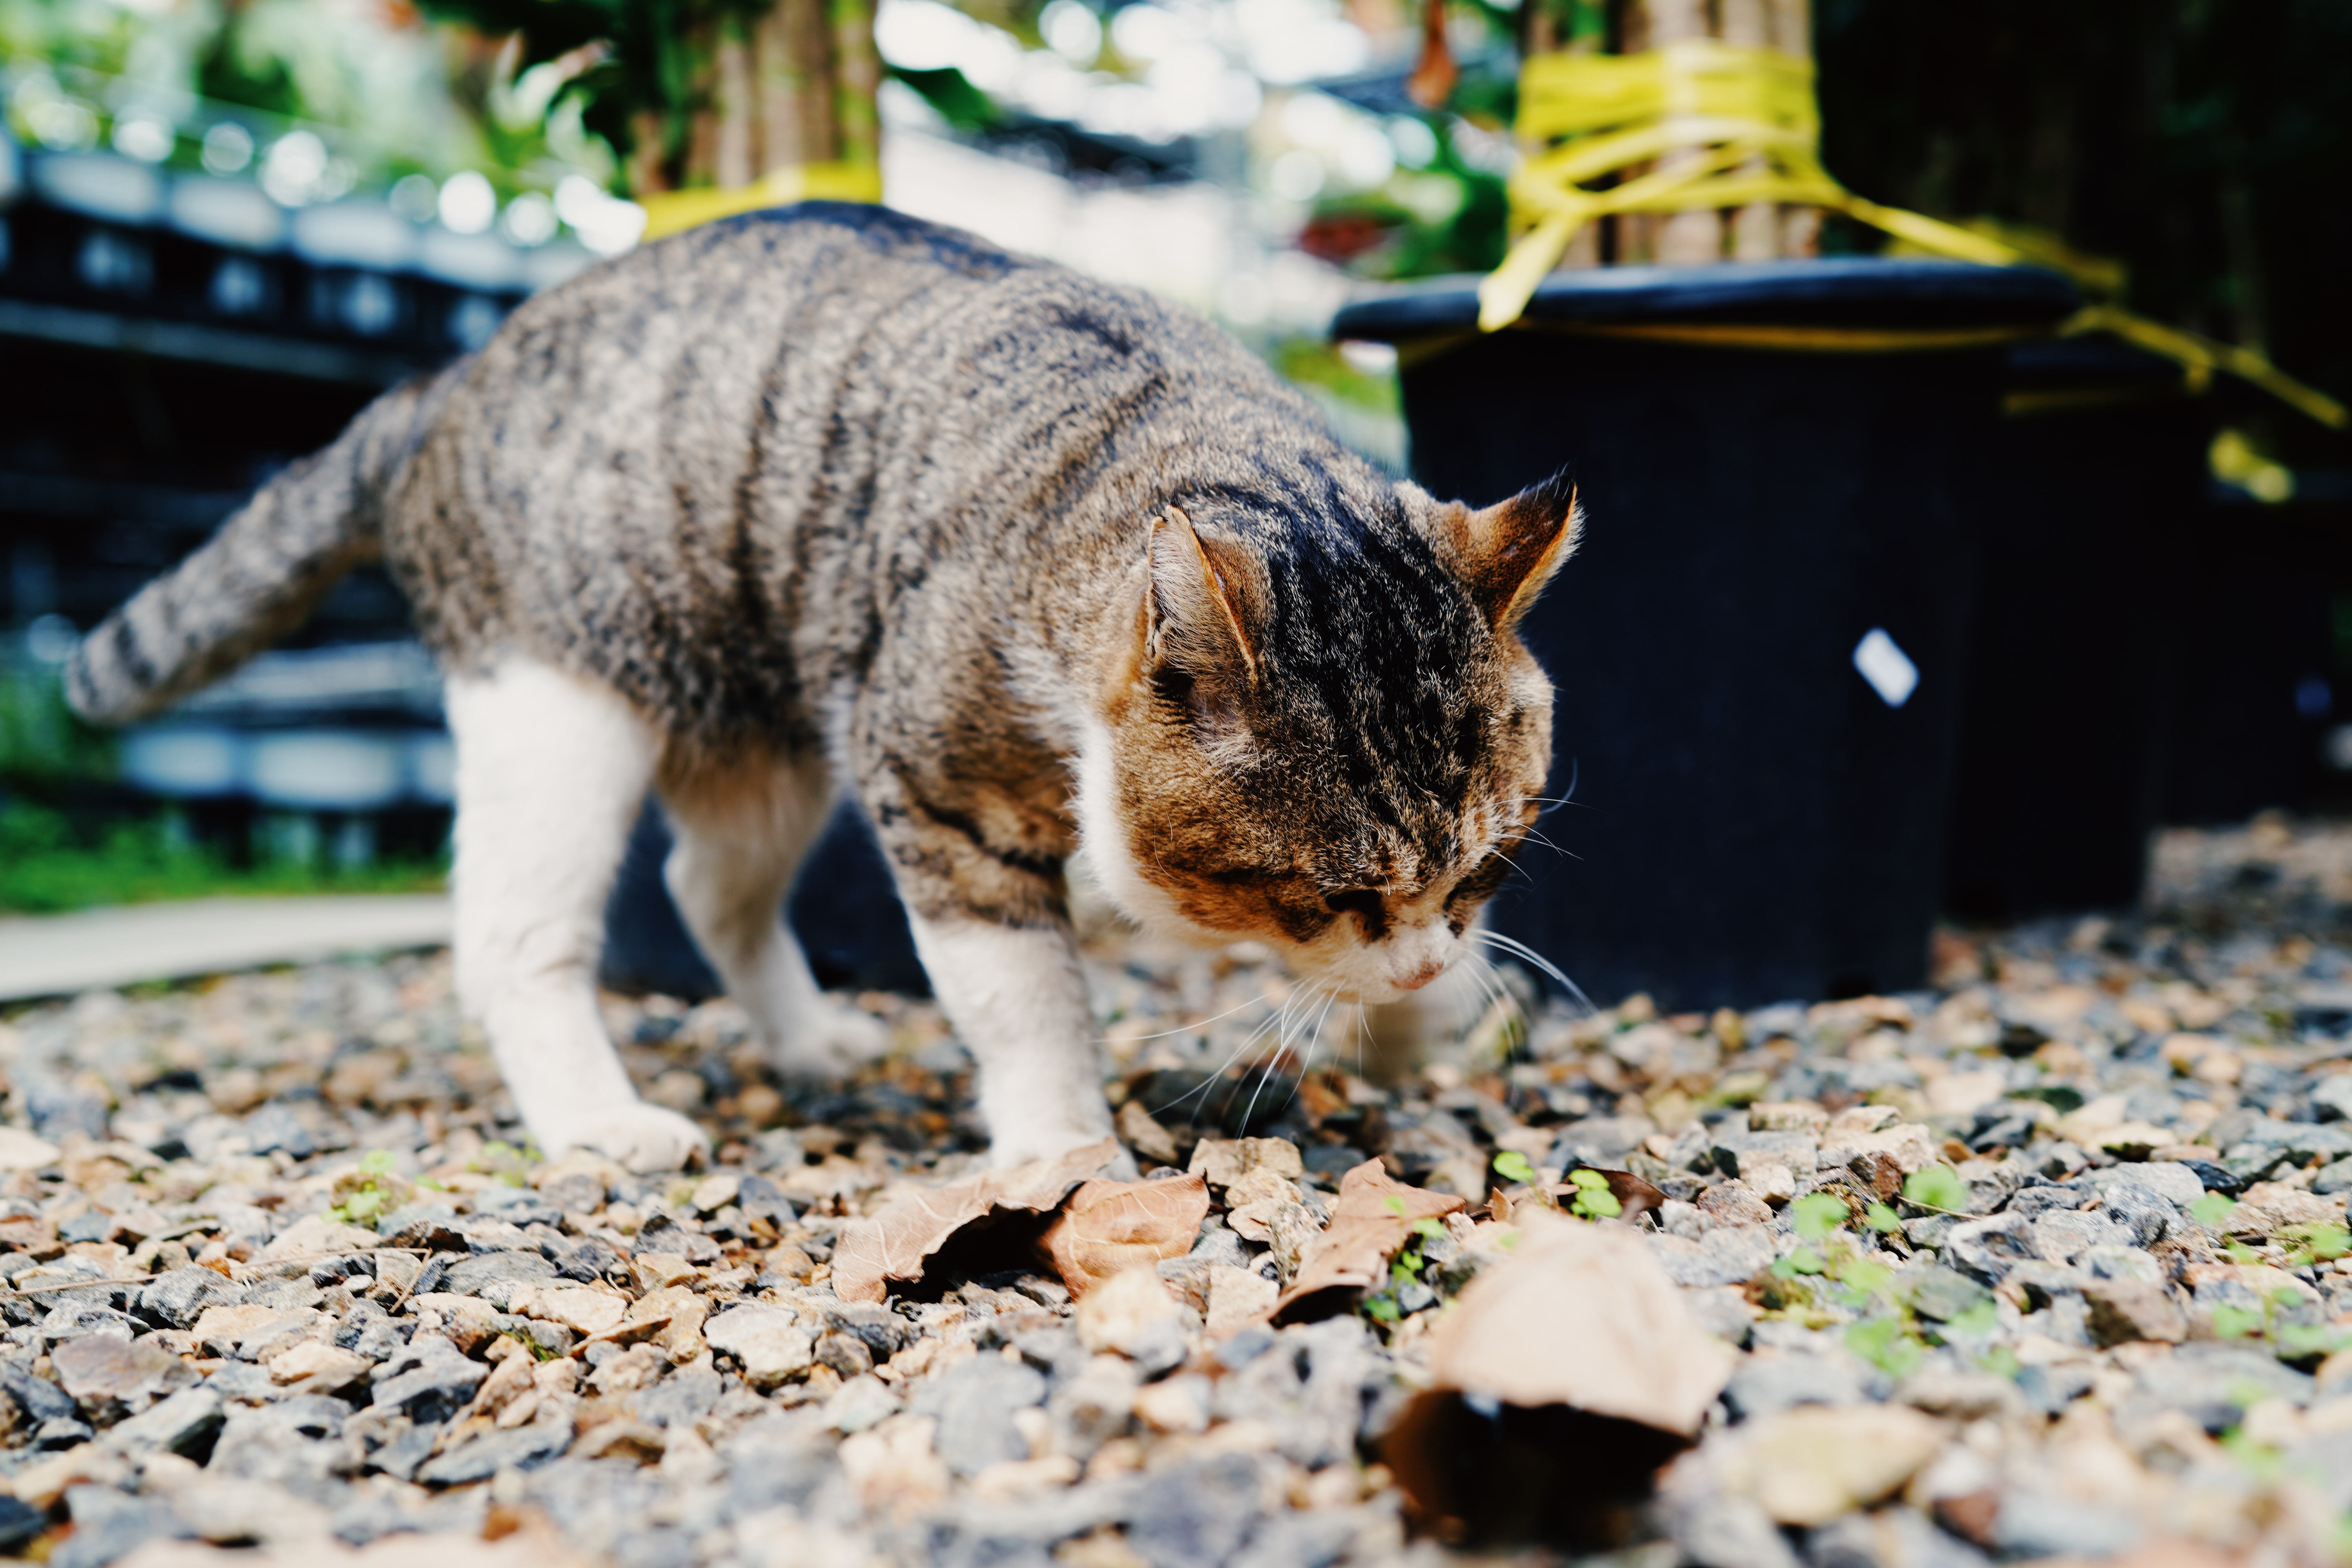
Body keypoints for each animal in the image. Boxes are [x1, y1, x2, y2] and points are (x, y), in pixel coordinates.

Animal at [73, 202, 1581, 1171]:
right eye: (1327, 893)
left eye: (1486, 869)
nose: (1422, 951)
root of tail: (445, 381)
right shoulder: (940, 793)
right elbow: (1022, 1001)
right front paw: (1059, 1146)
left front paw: (1420, 1018)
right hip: (562, 713)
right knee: (519, 938)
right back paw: (599, 1124)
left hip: (760, 746)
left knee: (708, 889)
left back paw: (807, 1044)